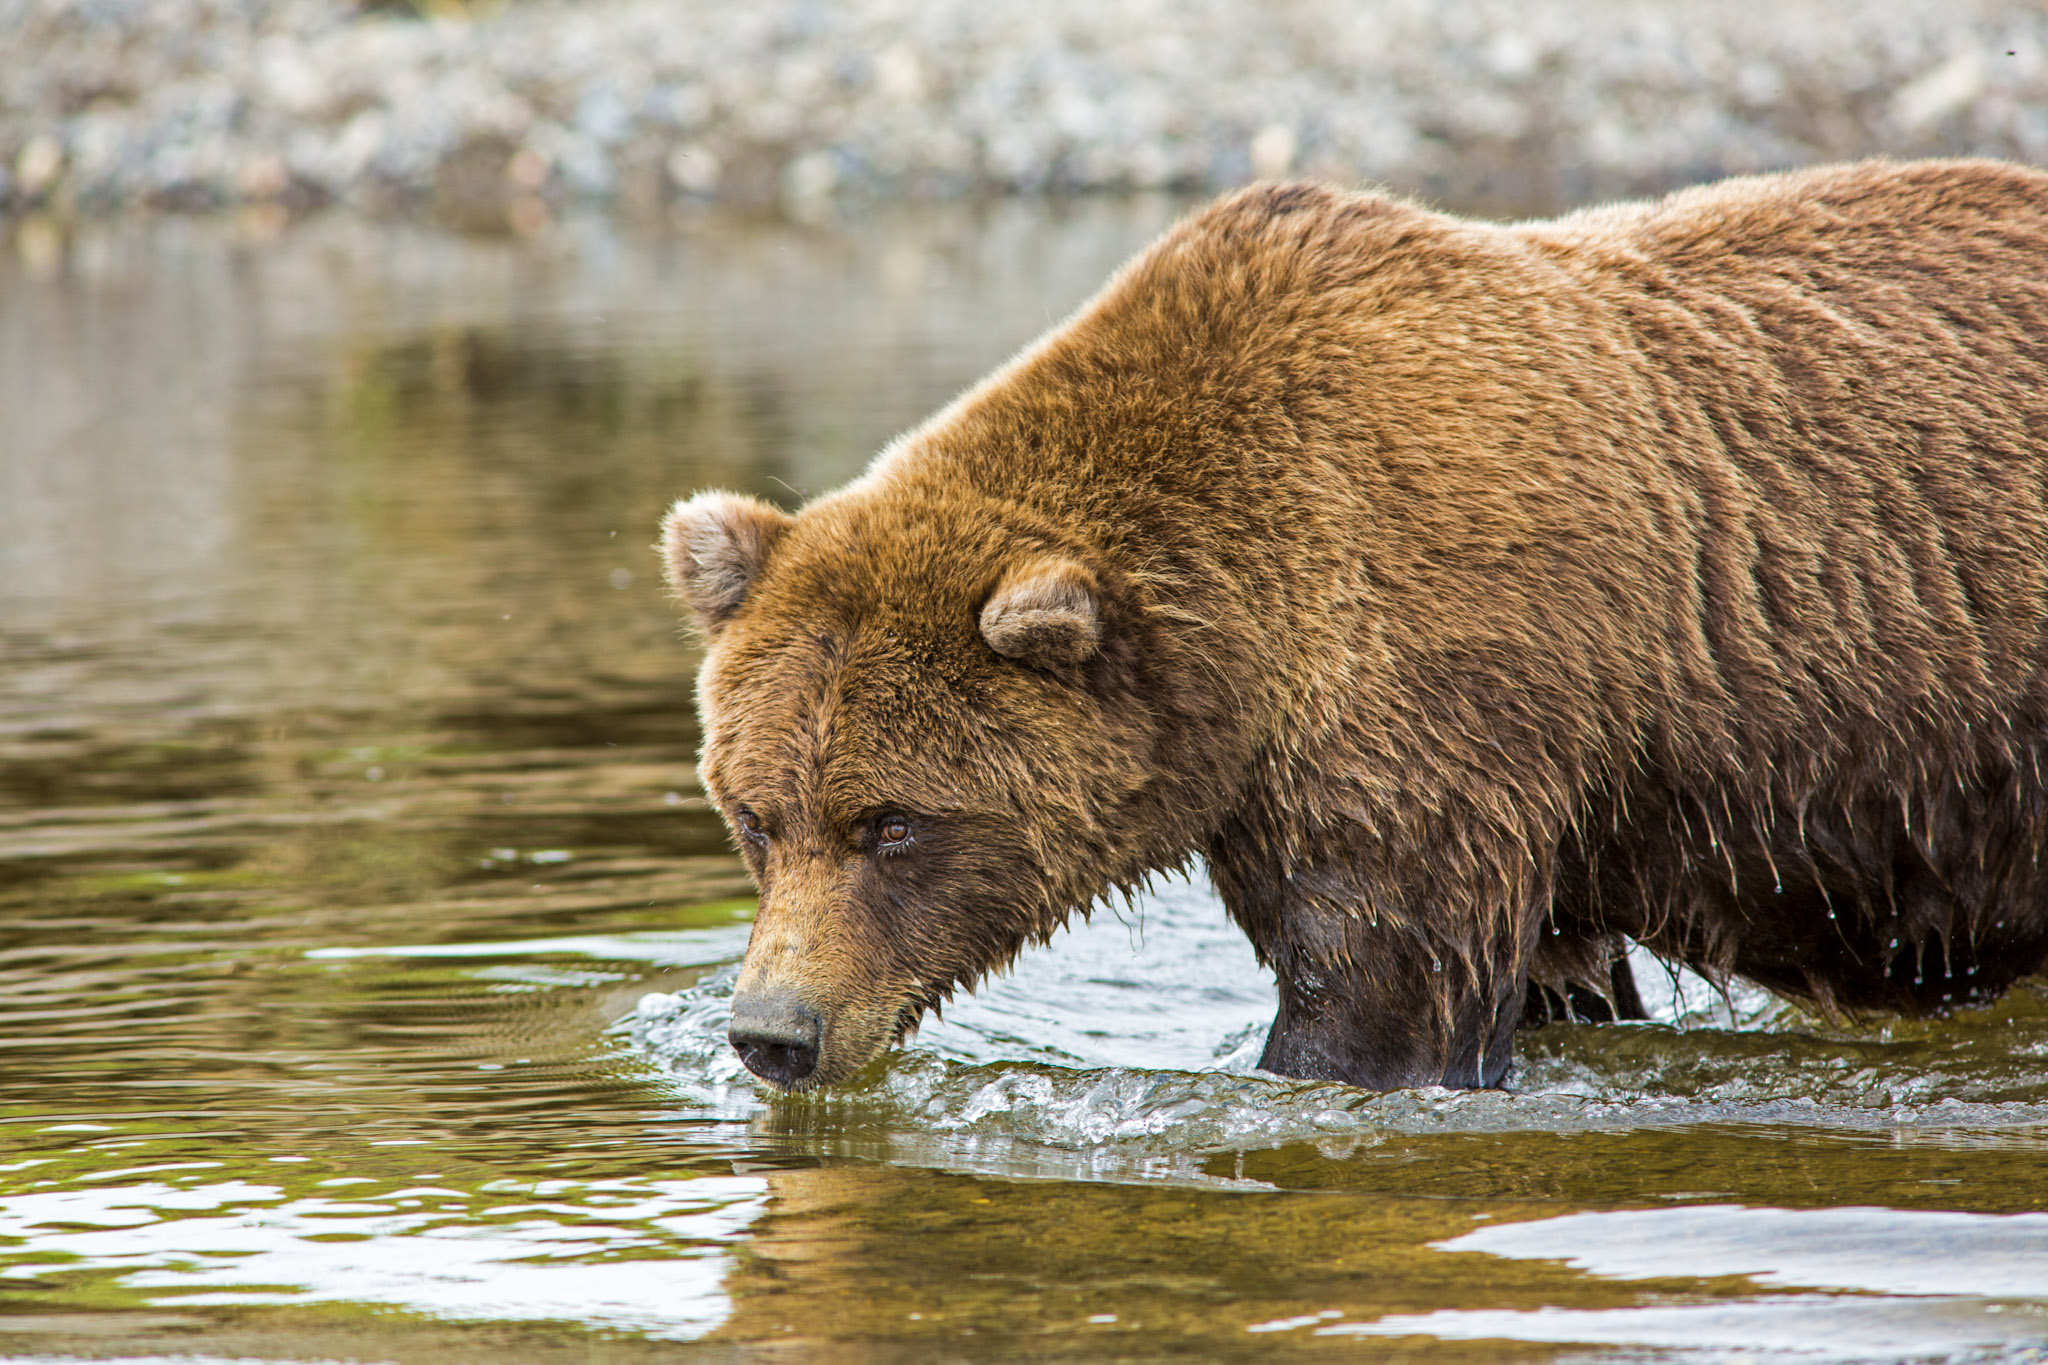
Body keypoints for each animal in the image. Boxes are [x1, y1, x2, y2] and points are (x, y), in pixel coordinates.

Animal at [661, 159, 2048, 1093]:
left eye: (891, 824)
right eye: (755, 816)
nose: (773, 1032)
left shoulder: (1426, 704)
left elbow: (1379, 996)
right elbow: (1556, 977)